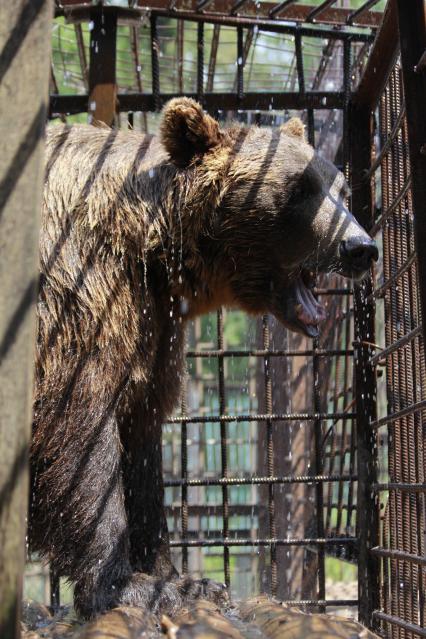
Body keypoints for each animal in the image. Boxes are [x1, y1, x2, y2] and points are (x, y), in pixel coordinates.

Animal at [28, 99, 378, 620]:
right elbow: (82, 429)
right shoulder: (76, 292)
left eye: (340, 186)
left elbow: (141, 441)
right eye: (299, 188)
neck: (147, 244)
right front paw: (125, 584)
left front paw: (184, 579)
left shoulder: (151, 324)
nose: (360, 247)